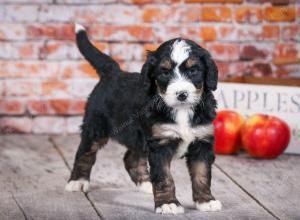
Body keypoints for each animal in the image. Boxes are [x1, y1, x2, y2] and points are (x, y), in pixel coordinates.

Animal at [65, 23, 221, 214]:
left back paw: (146, 184)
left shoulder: (202, 142)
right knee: (85, 153)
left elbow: (202, 174)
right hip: (96, 126)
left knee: (130, 157)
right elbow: (164, 177)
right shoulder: (160, 144)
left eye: (193, 70)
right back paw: (77, 181)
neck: (182, 110)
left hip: (136, 136)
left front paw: (206, 201)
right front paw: (168, 204)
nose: (182, 94)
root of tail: (114, 72)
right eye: (164, 73)